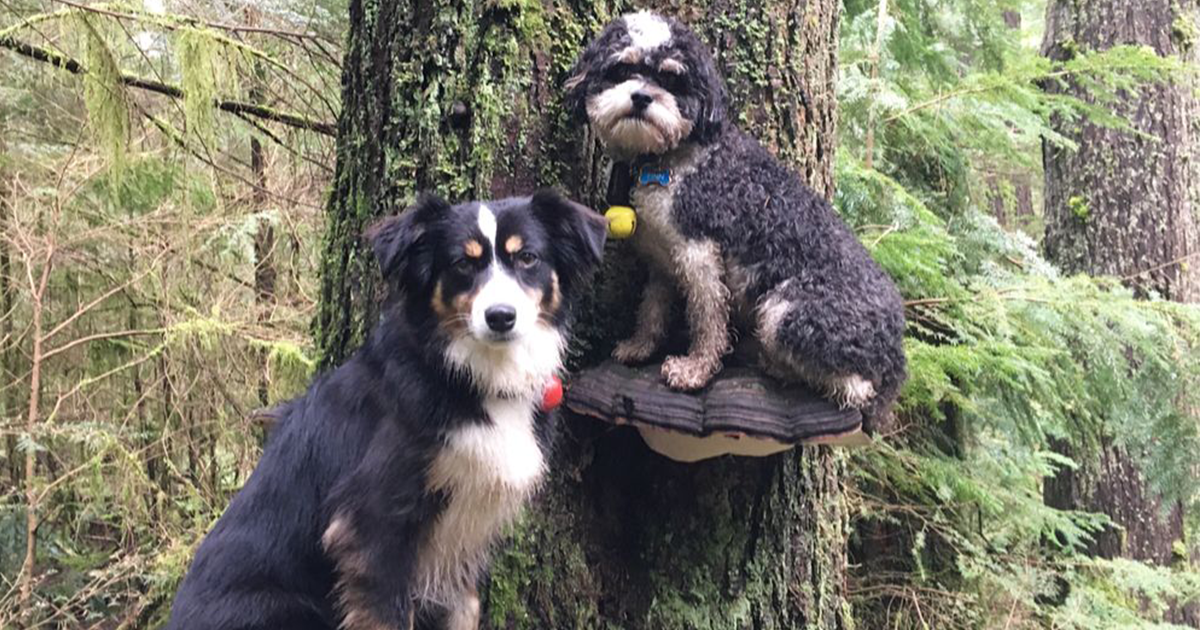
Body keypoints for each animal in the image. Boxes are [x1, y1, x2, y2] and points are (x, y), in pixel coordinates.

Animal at [164, 190, 604, 628]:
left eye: (527, 257)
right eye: (462, 263)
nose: (500, 317)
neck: (468, 378)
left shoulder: (465, 541)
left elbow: (467, 609)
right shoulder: (373, 527)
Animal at [566, 12, 902, 429]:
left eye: (672, 80)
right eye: (623, 68)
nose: (642, 97)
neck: (669, 159)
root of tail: (897, 343)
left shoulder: (699, 254)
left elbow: (708, 319)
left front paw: (694, 371)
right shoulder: (663, 259)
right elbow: (652, 309)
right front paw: (639, 347)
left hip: (784, 311)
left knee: (856, 389)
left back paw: (778, 366)